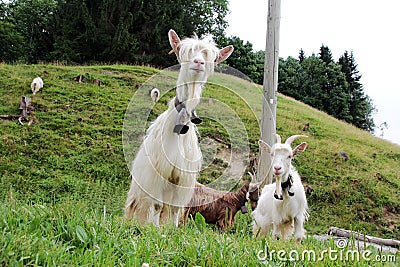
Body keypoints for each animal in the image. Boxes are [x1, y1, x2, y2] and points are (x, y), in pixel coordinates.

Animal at [125, 28, 234, 226]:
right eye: (184, 52)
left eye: (211, 58)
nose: (198, 62)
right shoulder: (159, 173)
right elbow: (157, 206)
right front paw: (154, 229)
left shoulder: (182, 178)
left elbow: (174, 209)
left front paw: (172, 229)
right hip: (140, 188)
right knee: (139, 207)